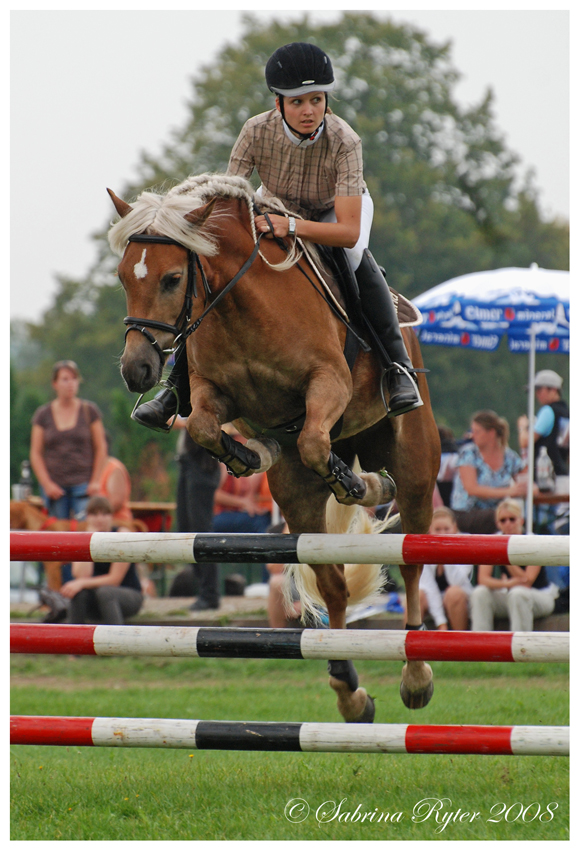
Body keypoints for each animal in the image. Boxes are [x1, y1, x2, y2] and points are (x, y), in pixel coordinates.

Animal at [109, 172, 442, 724]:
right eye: (122, 278)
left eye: (172, 279)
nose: (136, 370)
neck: (240, 304)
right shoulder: (210, 391)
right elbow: (204, 426)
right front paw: (248, 454)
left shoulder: (328, 382)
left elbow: (310, 438)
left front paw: (356, 482)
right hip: (297, 498)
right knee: (332, 583)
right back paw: (349, 692)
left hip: (416, 462)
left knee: (411, 558)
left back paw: (415, 675)